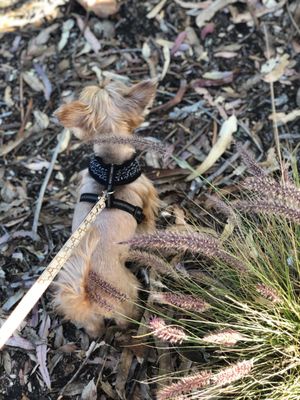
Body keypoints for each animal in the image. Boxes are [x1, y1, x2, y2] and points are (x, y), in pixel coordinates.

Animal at [51, 79, 159, 336]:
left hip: (87, 320)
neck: (111, 166)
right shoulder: (147, 197)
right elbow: (149, 221)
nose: (102, 80)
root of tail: (88, 295)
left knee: (93, 329)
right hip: (127, 293)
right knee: (125, 318)